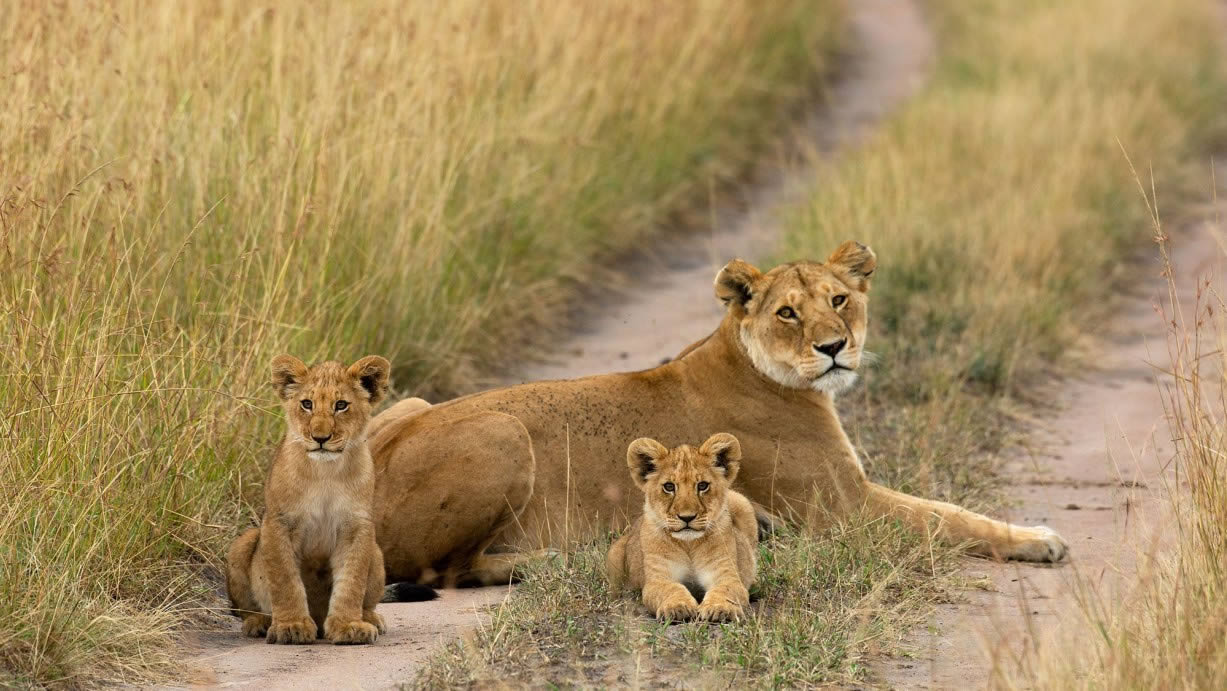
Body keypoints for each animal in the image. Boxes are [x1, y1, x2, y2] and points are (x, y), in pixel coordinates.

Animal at [225, 354, 434, 645]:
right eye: (307, 404)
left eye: (341, 405)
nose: (320, 438)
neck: (325, 472)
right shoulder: (279, 523)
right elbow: (285, 580)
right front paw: (291, 626)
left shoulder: (356, 526)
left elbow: (351, 581)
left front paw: (348, 626)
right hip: (243, 543)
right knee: (245, 609)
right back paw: (260, 622)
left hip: (376, 552)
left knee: (369, 599)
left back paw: (370, 619)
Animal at [371, 241, 1068, 577]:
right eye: (787, 312)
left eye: (839, 299)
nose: (834, 347)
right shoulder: (843, 509)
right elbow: (949, 518)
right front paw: (1040, 540)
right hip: (502, 428)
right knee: (442, 571)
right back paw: (559, 560)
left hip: (410, 400)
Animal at [607, 433, 758, 622]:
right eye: (669, 486)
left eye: (702, 485)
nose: (687, 517)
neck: (689, 544)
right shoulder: (658, 579)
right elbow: (671, 589)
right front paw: (677, 606)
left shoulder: (726, 574)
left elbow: (726, 590)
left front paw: (719, 608)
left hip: (740, 500)